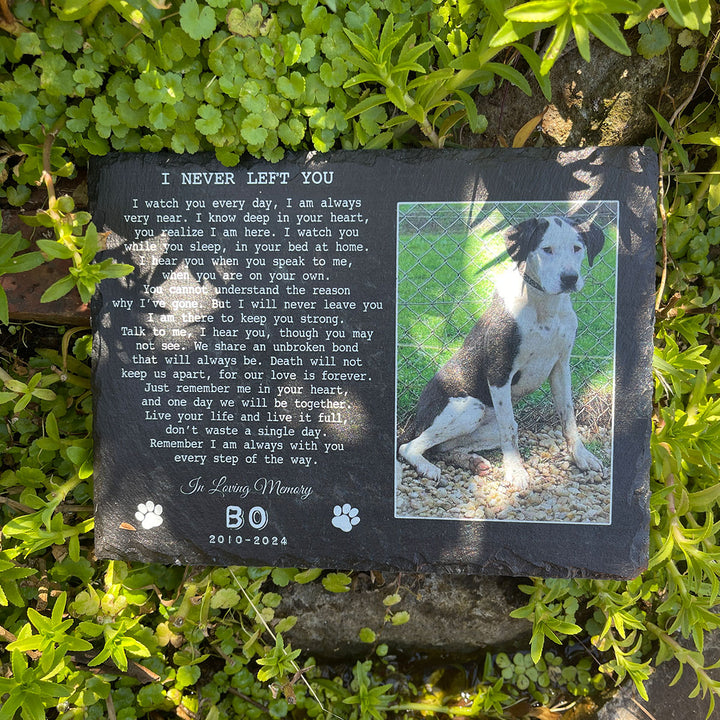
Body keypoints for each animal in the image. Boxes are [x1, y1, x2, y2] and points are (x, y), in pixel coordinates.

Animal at [400, 217, 608, 492]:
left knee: (441, 448)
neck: (544, 307)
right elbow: (508, 428)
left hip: (483, 427)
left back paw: (470, 461)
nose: (570, 279)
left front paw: (581, 456)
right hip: (470, 408)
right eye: (546, 249)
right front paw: (515, 472)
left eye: (577, 248)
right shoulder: (499, 373)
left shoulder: (561, 368)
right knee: (409, 447)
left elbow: (568, 417)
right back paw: (427, 467)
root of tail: (416, 419)